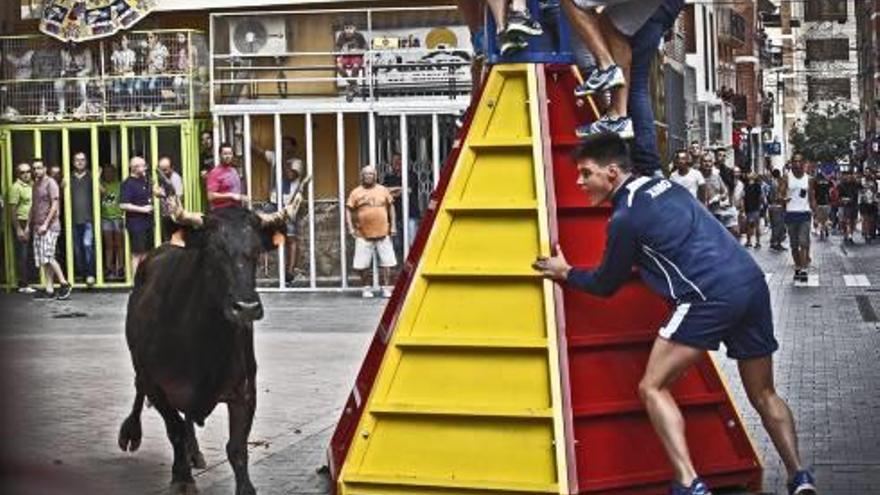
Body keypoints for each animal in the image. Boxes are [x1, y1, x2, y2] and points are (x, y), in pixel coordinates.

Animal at [117, 207, 288, 494]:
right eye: (214, 250)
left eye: (256, 251)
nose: (247, 308)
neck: (205, 343)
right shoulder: (157, 386)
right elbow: (174, 429)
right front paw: (182, 478)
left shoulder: (245, 390)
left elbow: (237, 447)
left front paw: (245, 487)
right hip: (139, 364)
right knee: (140, 388)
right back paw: (131, 432)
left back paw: (194, 452)